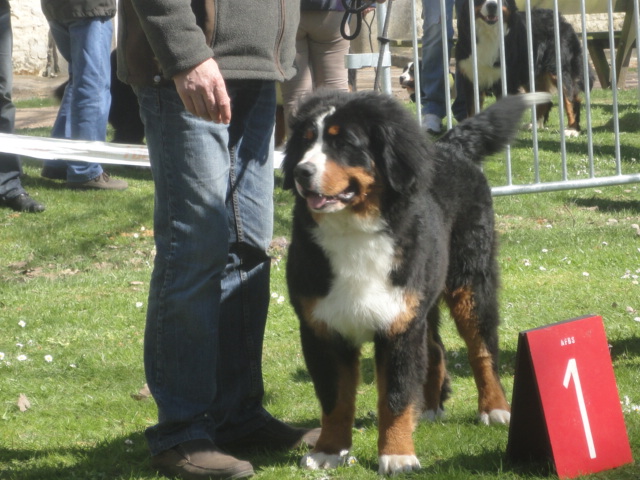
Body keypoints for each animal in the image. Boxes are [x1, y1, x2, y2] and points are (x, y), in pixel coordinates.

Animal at [284, 88, 552, 474]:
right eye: (306, 142)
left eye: (344, 142)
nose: (301, 171)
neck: (353, 233)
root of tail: (451, 147)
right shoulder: (323, 328)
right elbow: (335, 400)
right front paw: (329, 451)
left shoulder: (398, 326)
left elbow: (394, 398)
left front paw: (397, 455)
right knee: (436, 349)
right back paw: (428, 407)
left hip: (470, 284)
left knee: (482, 350)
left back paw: (495, 408)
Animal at [456, 0, 596, 136]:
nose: (492, 6)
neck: (488, 34)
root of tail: (562, 19)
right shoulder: (470, 80)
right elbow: (472, 110)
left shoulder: (508, 81)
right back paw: (534, 125)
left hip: (558, 69)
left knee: (571, 99)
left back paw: (573, 129)